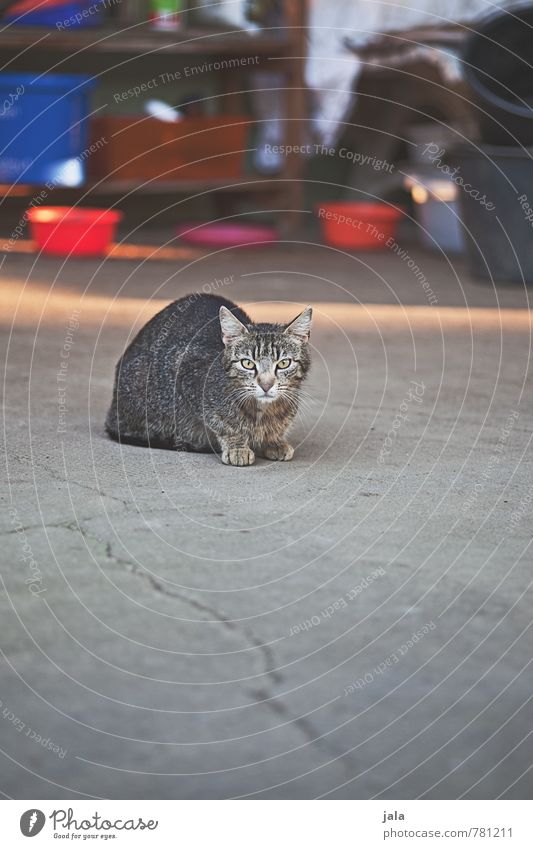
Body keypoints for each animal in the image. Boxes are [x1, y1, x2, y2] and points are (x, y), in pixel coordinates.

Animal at [105, 290, 312, 464]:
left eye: (284, 363)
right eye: (247, 363)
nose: (266, 385)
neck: (263, 410)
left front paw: (274, 441)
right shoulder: (186, 375)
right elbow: (223, 423)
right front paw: (237, 446)